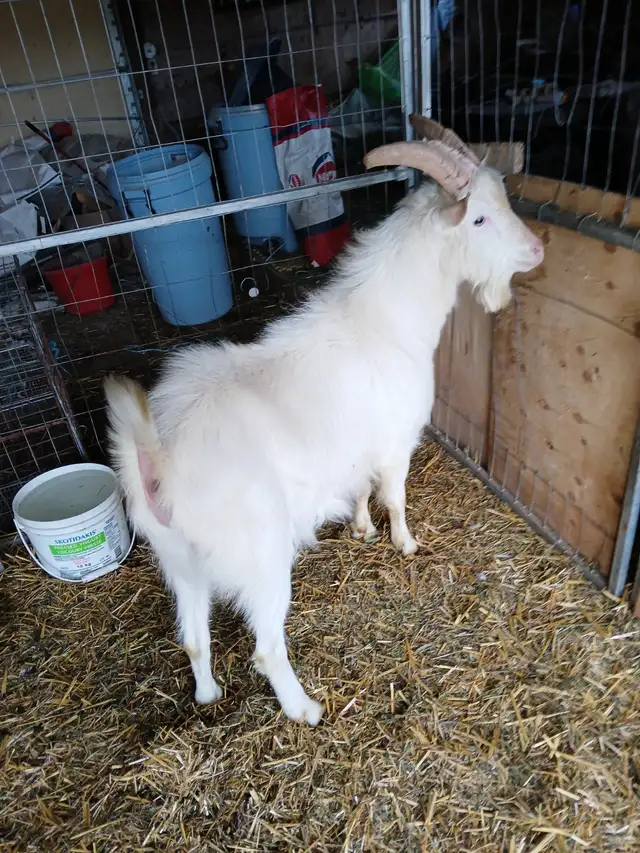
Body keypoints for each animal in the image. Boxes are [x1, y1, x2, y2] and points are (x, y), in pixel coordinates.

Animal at [104, 117, 544, 726]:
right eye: (479, 218)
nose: (537, 249)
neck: (384, 321)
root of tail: (159, 460)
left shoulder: (353, 450)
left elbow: (359, 489)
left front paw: (360, 529)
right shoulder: (395, 441)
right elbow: (395, 497)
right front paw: (405, 544)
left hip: (180, 561)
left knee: (193, 636)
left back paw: (208, 694)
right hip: (262, 556)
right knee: (266, 648)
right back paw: (305, 709)